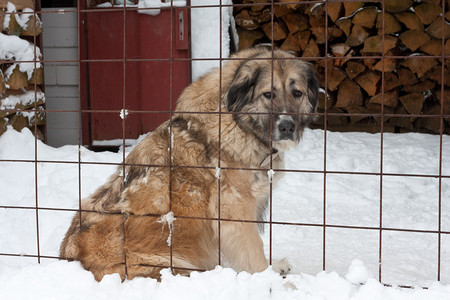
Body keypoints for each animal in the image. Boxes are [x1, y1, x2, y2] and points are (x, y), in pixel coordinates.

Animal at [60, 47, 320, 282]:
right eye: (268, 94)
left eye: (297, 93)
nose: (287, 127)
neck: (238, 122)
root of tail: (69, 257)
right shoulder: (234, 211)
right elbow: (253, 255)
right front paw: (274, 283)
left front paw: (273, 266)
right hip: (171, 265)